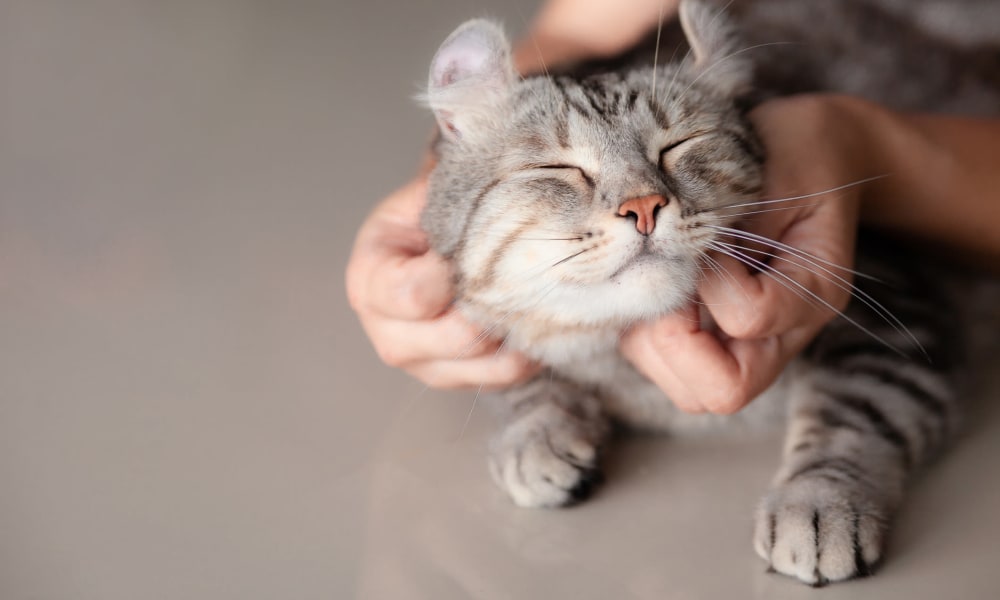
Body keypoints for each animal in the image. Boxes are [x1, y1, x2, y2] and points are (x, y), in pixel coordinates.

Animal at [418, 0, 996, 584]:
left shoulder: (898, 316)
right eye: (558, 168)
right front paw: (537, 434)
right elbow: (521, 378)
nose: (643, 206)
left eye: (678, 145)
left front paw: (817, 504)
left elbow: (852, 417)